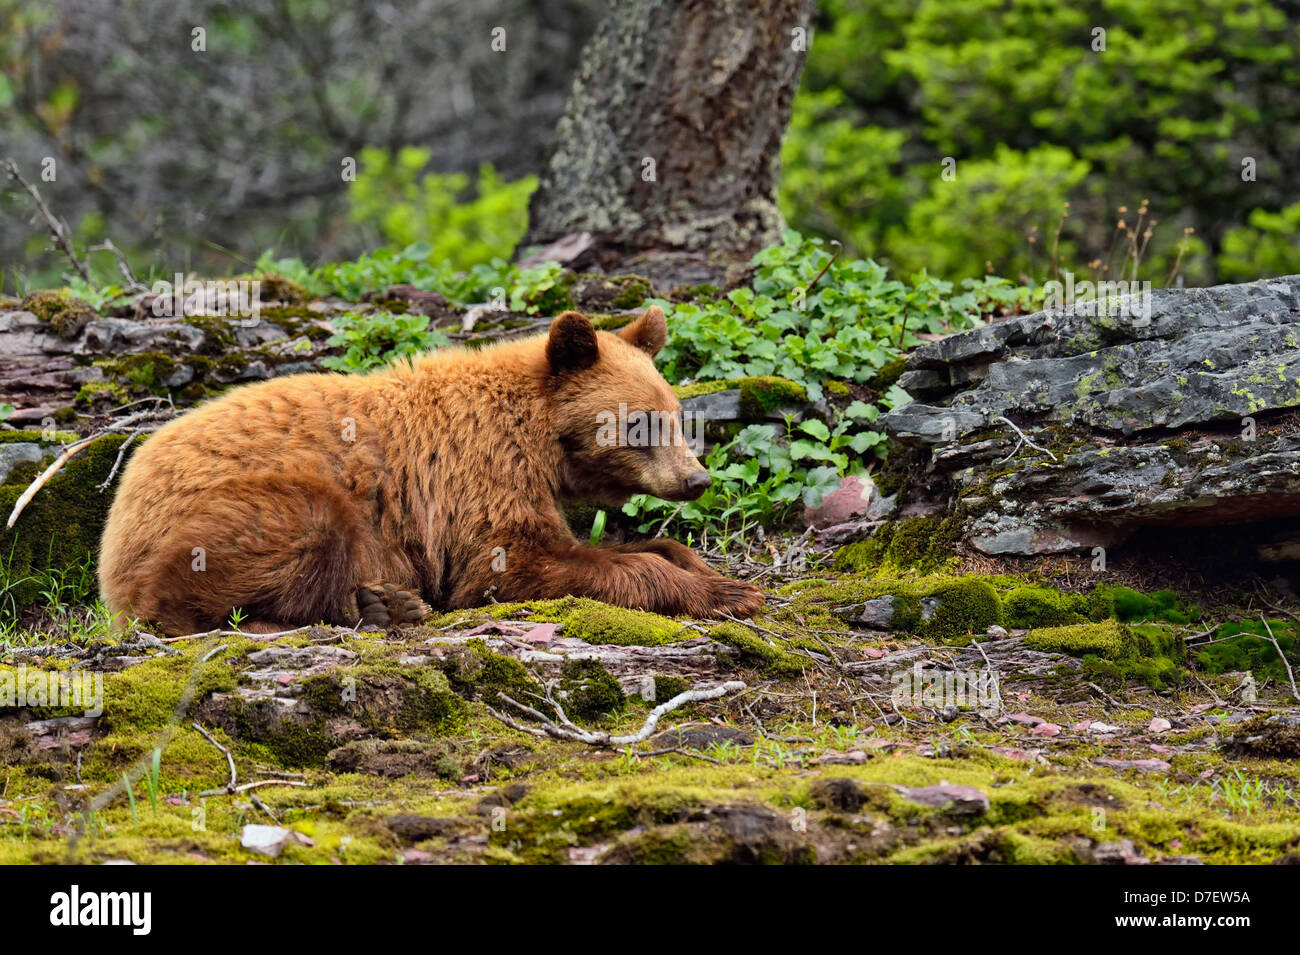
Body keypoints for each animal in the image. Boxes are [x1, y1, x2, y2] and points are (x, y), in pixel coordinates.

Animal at [98, 305, 764, 636]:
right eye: (640, 425)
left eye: (675, 416)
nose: (697, 480)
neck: (538, 436)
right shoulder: (479, 475)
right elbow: (509, 564)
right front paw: (728, 592)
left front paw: (704, 567)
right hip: (242, 506)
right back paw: (375, 607)